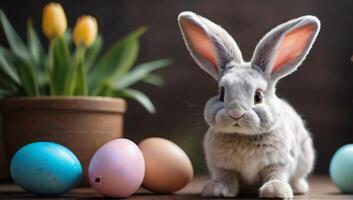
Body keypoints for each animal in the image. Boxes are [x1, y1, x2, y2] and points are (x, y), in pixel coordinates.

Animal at [177, 11, 318, 199]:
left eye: (258, 96)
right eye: (221, 93)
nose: (236, 113)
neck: (243, 135)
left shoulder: (279, 162)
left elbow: (276, 175)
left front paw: (275, 191)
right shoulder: (222, 166)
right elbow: (227, 177)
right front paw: (218, 190)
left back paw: (298, 188)